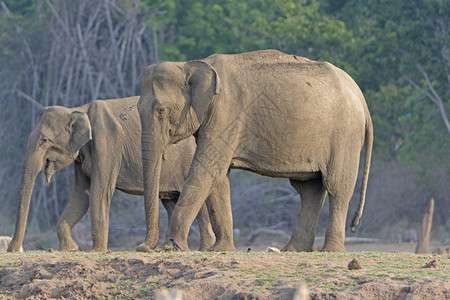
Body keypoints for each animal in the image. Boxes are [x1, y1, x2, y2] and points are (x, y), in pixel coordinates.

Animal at [7, 96, 232, 253]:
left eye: (44, 140)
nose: (14, 249)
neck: (78, 109)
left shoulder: (107, 144)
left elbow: (99, 192)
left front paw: (95, 251)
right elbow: (82, 196)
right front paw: (70, 249)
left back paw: (202, 249)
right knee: (170, 201)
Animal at [136, 49, 372, 253]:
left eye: (162, 110)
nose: (143, 248)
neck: (190, 65)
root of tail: (361, 98)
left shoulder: (225, 114)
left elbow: (207, 170)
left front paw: (172, 248)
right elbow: (218, 176)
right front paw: (221, 250)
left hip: (345, 135)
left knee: (337, 187)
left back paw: (329, 250)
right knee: (309, 189)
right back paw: (292, 250)